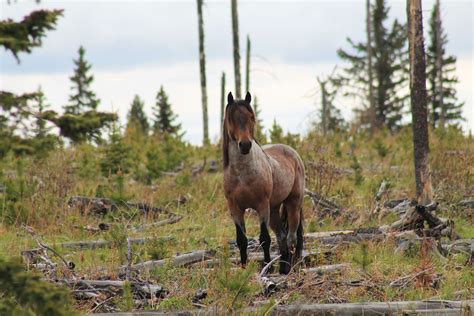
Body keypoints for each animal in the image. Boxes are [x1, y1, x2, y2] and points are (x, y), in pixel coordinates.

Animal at [222, 91, 304, 274]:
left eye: (251, 117)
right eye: (231, 118)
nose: (245, 145)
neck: (242, 175)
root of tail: (293, 153)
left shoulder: (261, 206)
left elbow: (265, 239)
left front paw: (266, 266)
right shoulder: (235, 209)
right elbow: (241, 240)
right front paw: (244, 268)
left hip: (292, 203)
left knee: (292, 237)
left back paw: (290, 267)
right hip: (274, 209)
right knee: (282, 237)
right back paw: (283, 267)